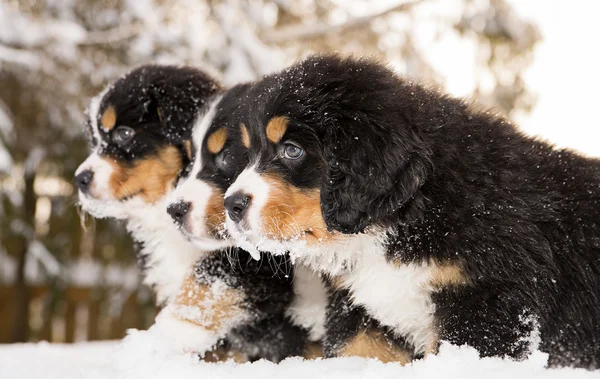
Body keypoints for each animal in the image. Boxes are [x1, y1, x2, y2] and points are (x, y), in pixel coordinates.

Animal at [75, 67, 322, 364]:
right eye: (95, 140)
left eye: (124, 134)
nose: (79, 179)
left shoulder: (261, 260)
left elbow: (205, 284)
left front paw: (165, 336)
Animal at [220, 55, 600, 370]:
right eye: (248, 153)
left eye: (292, 150)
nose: (231, 205)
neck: (408, 215)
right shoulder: (360, 311)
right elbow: (354, 352)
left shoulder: (486, 304)